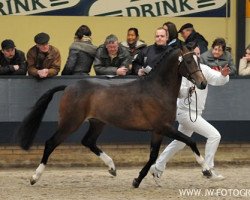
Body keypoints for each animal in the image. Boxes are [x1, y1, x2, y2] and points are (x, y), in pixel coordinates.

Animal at [18, 45, 209, 188]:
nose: (203, 83)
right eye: (189, 61)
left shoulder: (158, 131)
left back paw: (112, 167)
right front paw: (207, 170)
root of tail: (69, 87)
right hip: (70, 123)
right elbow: (191, 142)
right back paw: (34, 177)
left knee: (88, 141)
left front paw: (137, 180)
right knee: (51, 143)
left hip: (97, 123)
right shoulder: (164, 127)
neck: (158, 89)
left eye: (199, 60)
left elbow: (153, 156)